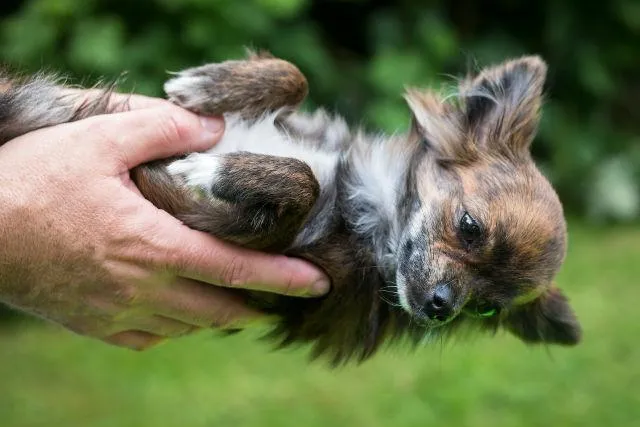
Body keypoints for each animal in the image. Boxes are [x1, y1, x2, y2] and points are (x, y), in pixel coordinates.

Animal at [0, 51, 580, 364]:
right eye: (469, 227)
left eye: (487, 309)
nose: (441, 306)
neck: (365, 207)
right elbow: (296, 76)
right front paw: (212, 83)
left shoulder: (257, 235)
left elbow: (299, 179)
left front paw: (220, 170)